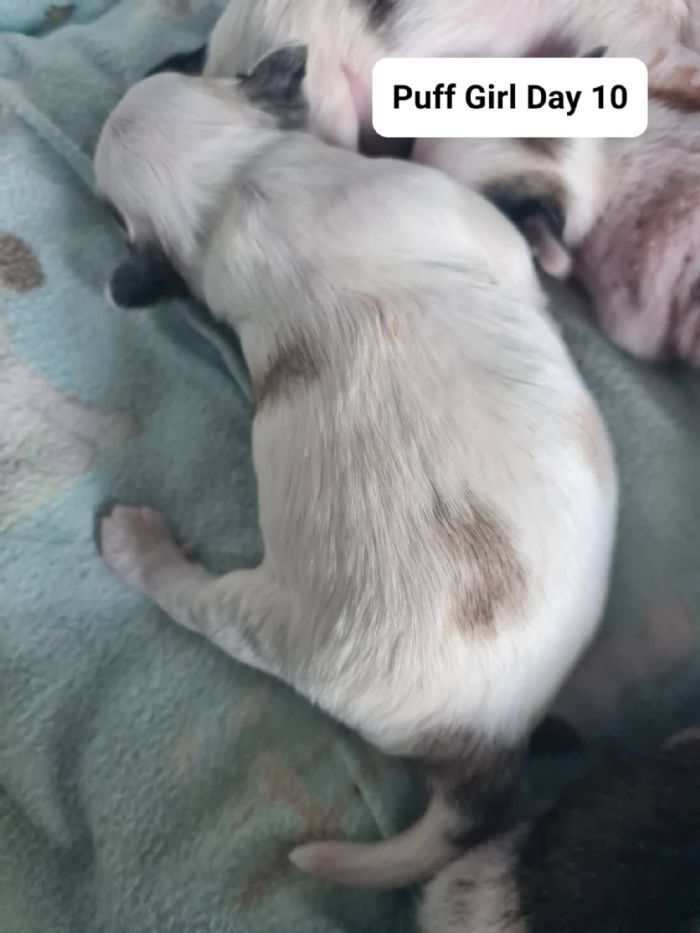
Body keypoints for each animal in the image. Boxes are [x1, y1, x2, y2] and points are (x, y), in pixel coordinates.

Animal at [94, 45, 617, 888]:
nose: (174, 52)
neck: (228, 188)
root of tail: (487, 738)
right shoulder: (443, 206)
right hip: (256, 615)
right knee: (195, 604)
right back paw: (136, 544)